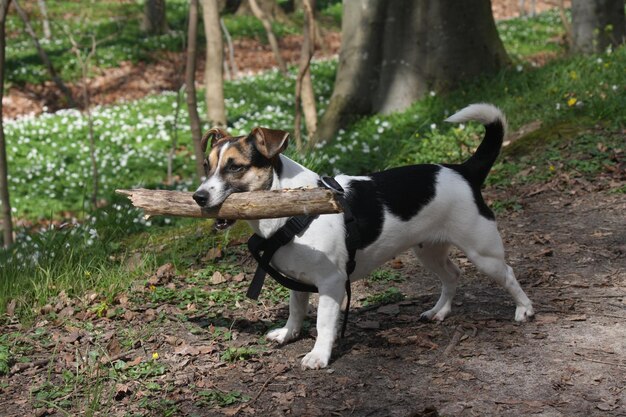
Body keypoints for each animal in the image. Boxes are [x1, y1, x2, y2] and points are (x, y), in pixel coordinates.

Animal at [191, 103, 532, 368]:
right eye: (206, 166)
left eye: (235, 167)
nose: (198, 197)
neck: (289, 207)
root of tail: (463, 170)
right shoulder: (299, 282)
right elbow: (296, 310)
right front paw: (289, 334)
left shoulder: (331, 283)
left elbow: (324, 322)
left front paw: (319, 355)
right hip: (428, 251)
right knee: (453, 275)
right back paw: (440, 311)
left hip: (483, 252)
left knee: (508, 273)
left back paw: (524, 309)